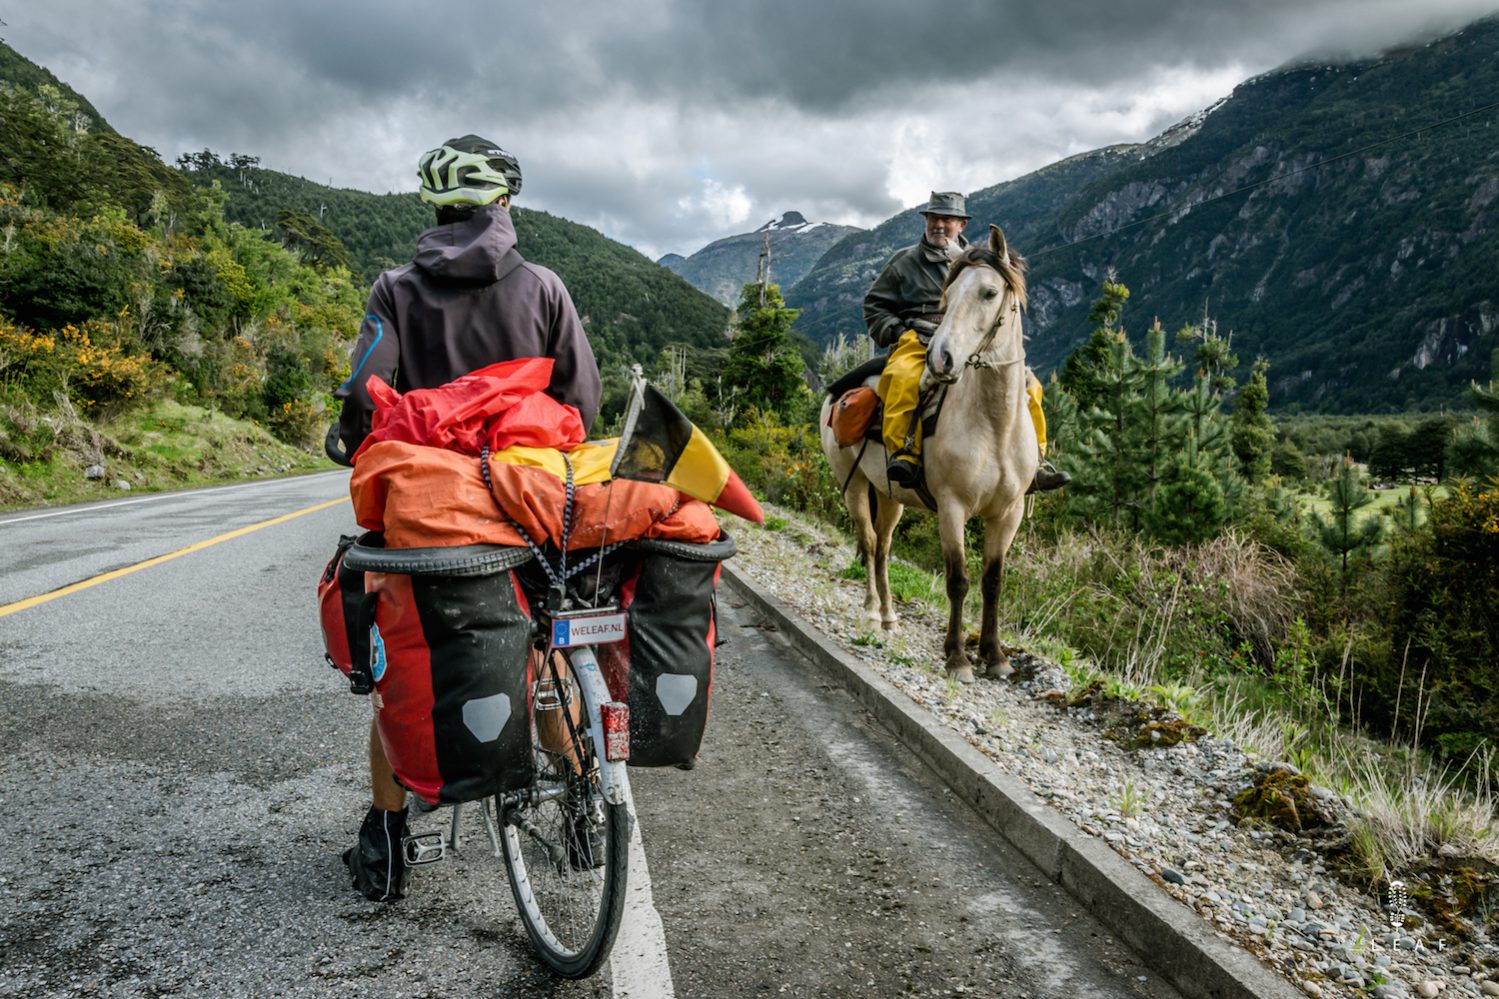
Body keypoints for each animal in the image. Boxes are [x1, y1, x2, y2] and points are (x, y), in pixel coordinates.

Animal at [821, 222, 1043, 681]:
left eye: (989, 293)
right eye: (948, 294)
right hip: (854, 488)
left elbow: (993, 581)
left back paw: (890, 616)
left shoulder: (1008, 513)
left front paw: (995, 656)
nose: (941, 358)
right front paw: (957, 657)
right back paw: (872, 612)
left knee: (884, 547)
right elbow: (958, 578)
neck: (994, 427)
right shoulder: (952, 507)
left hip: (889, 496)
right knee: (869, 541)